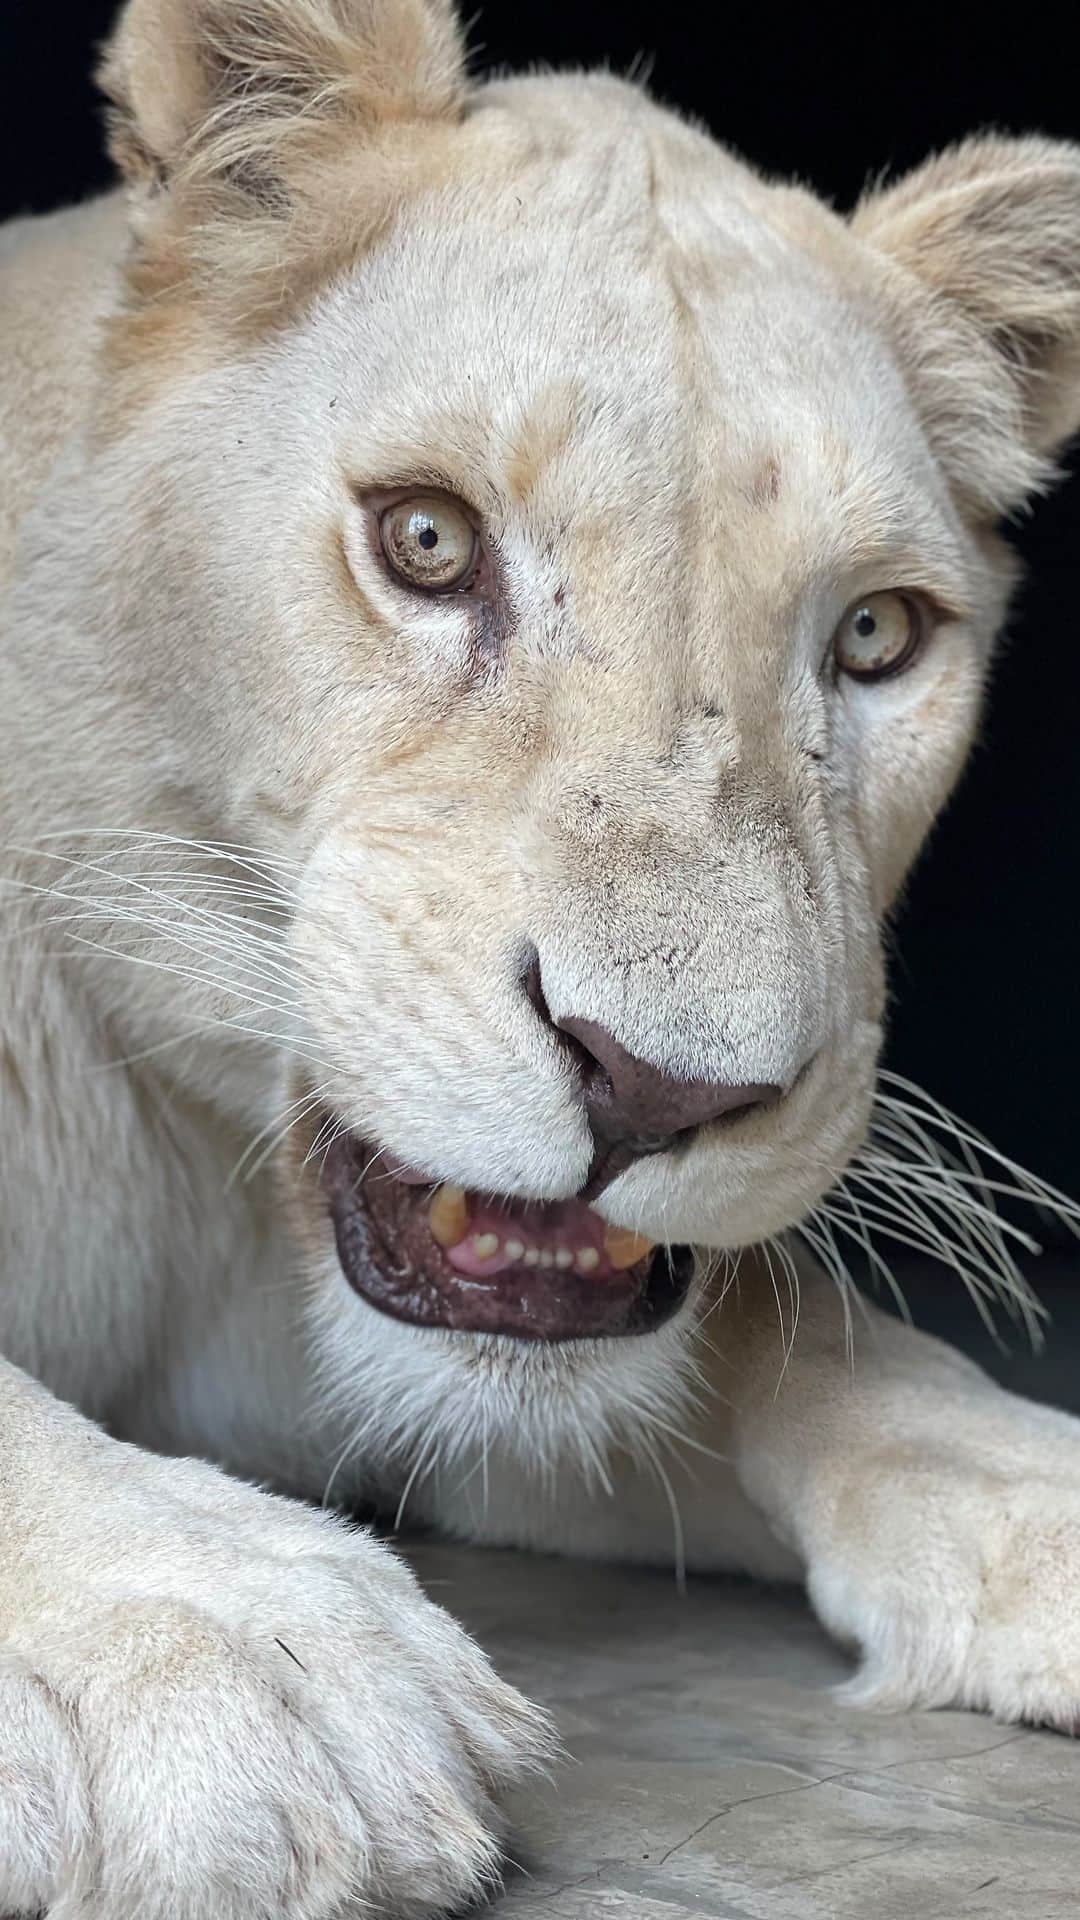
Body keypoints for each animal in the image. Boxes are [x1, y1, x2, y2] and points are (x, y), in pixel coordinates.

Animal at [2, 3, 1076, 1920]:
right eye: (428, 541)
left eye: (876, 637)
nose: (663, 1090)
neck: (196, 1176)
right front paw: (236, 1655)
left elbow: (818, 1349)